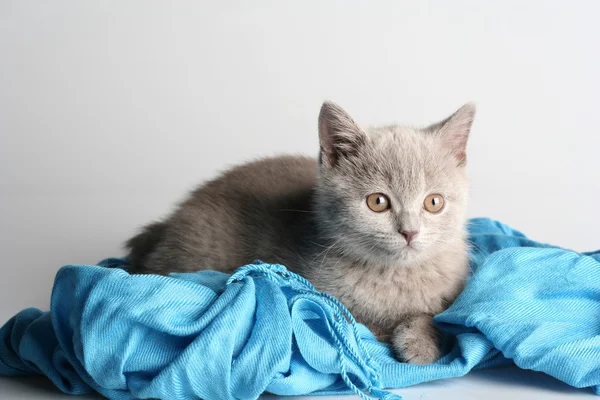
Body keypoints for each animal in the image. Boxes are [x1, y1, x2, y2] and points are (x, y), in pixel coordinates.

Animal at [125, 101, 474, 366]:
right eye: (378, 202)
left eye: (433, 202)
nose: (410, 232)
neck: (393, 276)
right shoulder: (323, 301)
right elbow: (364, 324)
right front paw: (410, 339)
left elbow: (436, 317)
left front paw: (422, 340)